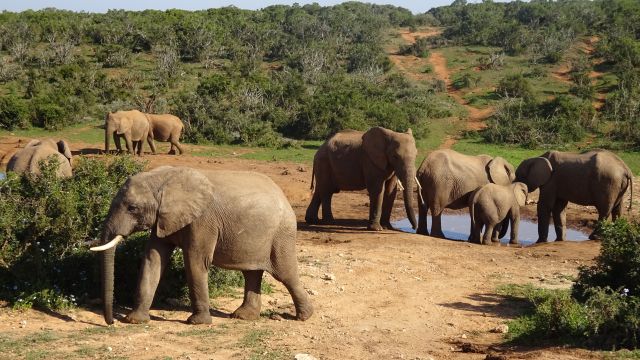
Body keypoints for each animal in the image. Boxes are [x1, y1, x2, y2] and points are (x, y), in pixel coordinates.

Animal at [89, 166, 314, 326]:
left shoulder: (203, 222)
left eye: (132, 208)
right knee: (251, 273)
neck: (164, 178)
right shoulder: (164, 219)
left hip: (281, 234)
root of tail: (283, 196)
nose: (111, 322)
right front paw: (135, 320)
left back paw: (304, 316)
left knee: (285, 273)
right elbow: (153, 259)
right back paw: (243, 317)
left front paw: (197, 323)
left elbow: (195, 261)